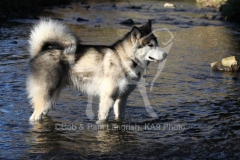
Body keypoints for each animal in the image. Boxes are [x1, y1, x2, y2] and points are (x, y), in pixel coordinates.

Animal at [27, 19, 167, 124]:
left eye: (157, 44)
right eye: (150, 45)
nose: (165, 54)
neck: (125, 59)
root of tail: (41, 51)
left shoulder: (122, 98)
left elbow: (119, 117)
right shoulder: (108, 97)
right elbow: (103, 119)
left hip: (51, 99)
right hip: (46, 97)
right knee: (34, 116)